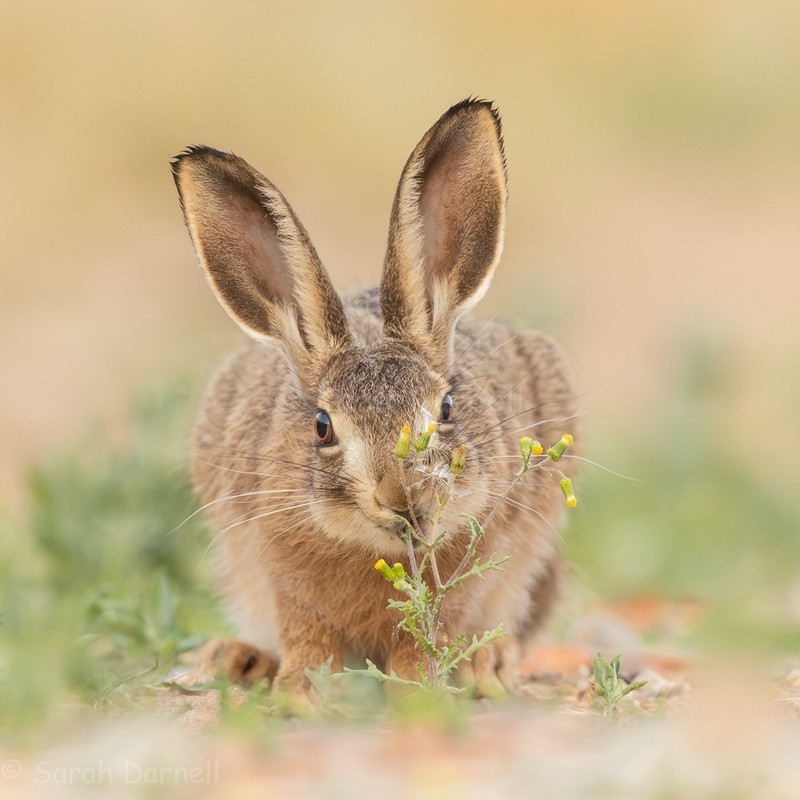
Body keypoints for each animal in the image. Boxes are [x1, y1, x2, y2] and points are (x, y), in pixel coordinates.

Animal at [171, 99, 578, 702]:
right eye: (322, 426)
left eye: (447, 408)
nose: (403, 498)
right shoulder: (284, 578)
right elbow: (307, 636)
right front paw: (302, 692)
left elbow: (429, 632)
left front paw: (416, 690)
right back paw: (237, 659)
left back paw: (488, 665)